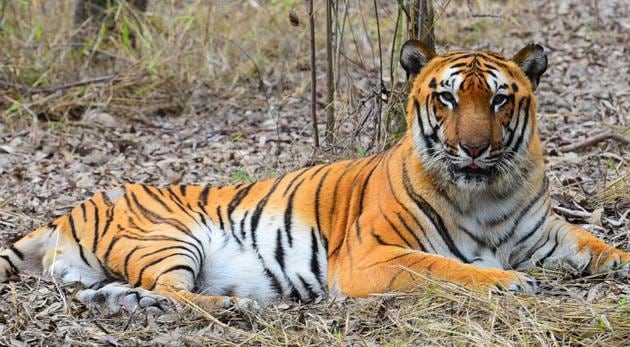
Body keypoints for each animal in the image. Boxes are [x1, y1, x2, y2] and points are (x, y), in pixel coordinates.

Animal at [1, 40, 630, 312]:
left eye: (499, 99)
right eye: (448, 98)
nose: (473, 148)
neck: (488, 192)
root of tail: (72, 208)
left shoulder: (548, 235)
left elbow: (603, 247)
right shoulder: (369, 256)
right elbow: (446, 268)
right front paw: (507, 283)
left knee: (130, 291)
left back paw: (122, 303)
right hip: (168, 239)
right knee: (180, 294)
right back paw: (237, 307)